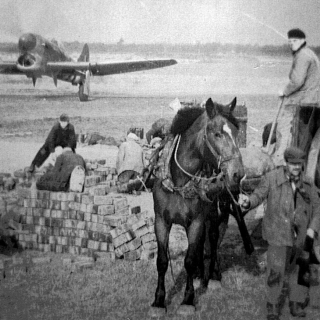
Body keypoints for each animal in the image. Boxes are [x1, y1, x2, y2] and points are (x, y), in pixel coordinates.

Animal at [150, 96, 245, 314]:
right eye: (217, 133)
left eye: (237, 133)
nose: (237, 173)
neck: (178, 181)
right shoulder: (161, 222)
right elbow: (162, 261)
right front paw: (159, 300)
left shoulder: (196, 222)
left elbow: (190, 260)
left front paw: (187, 299)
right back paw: (201, 275)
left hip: (218, 213)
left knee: (214, 239)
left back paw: (214, 276)